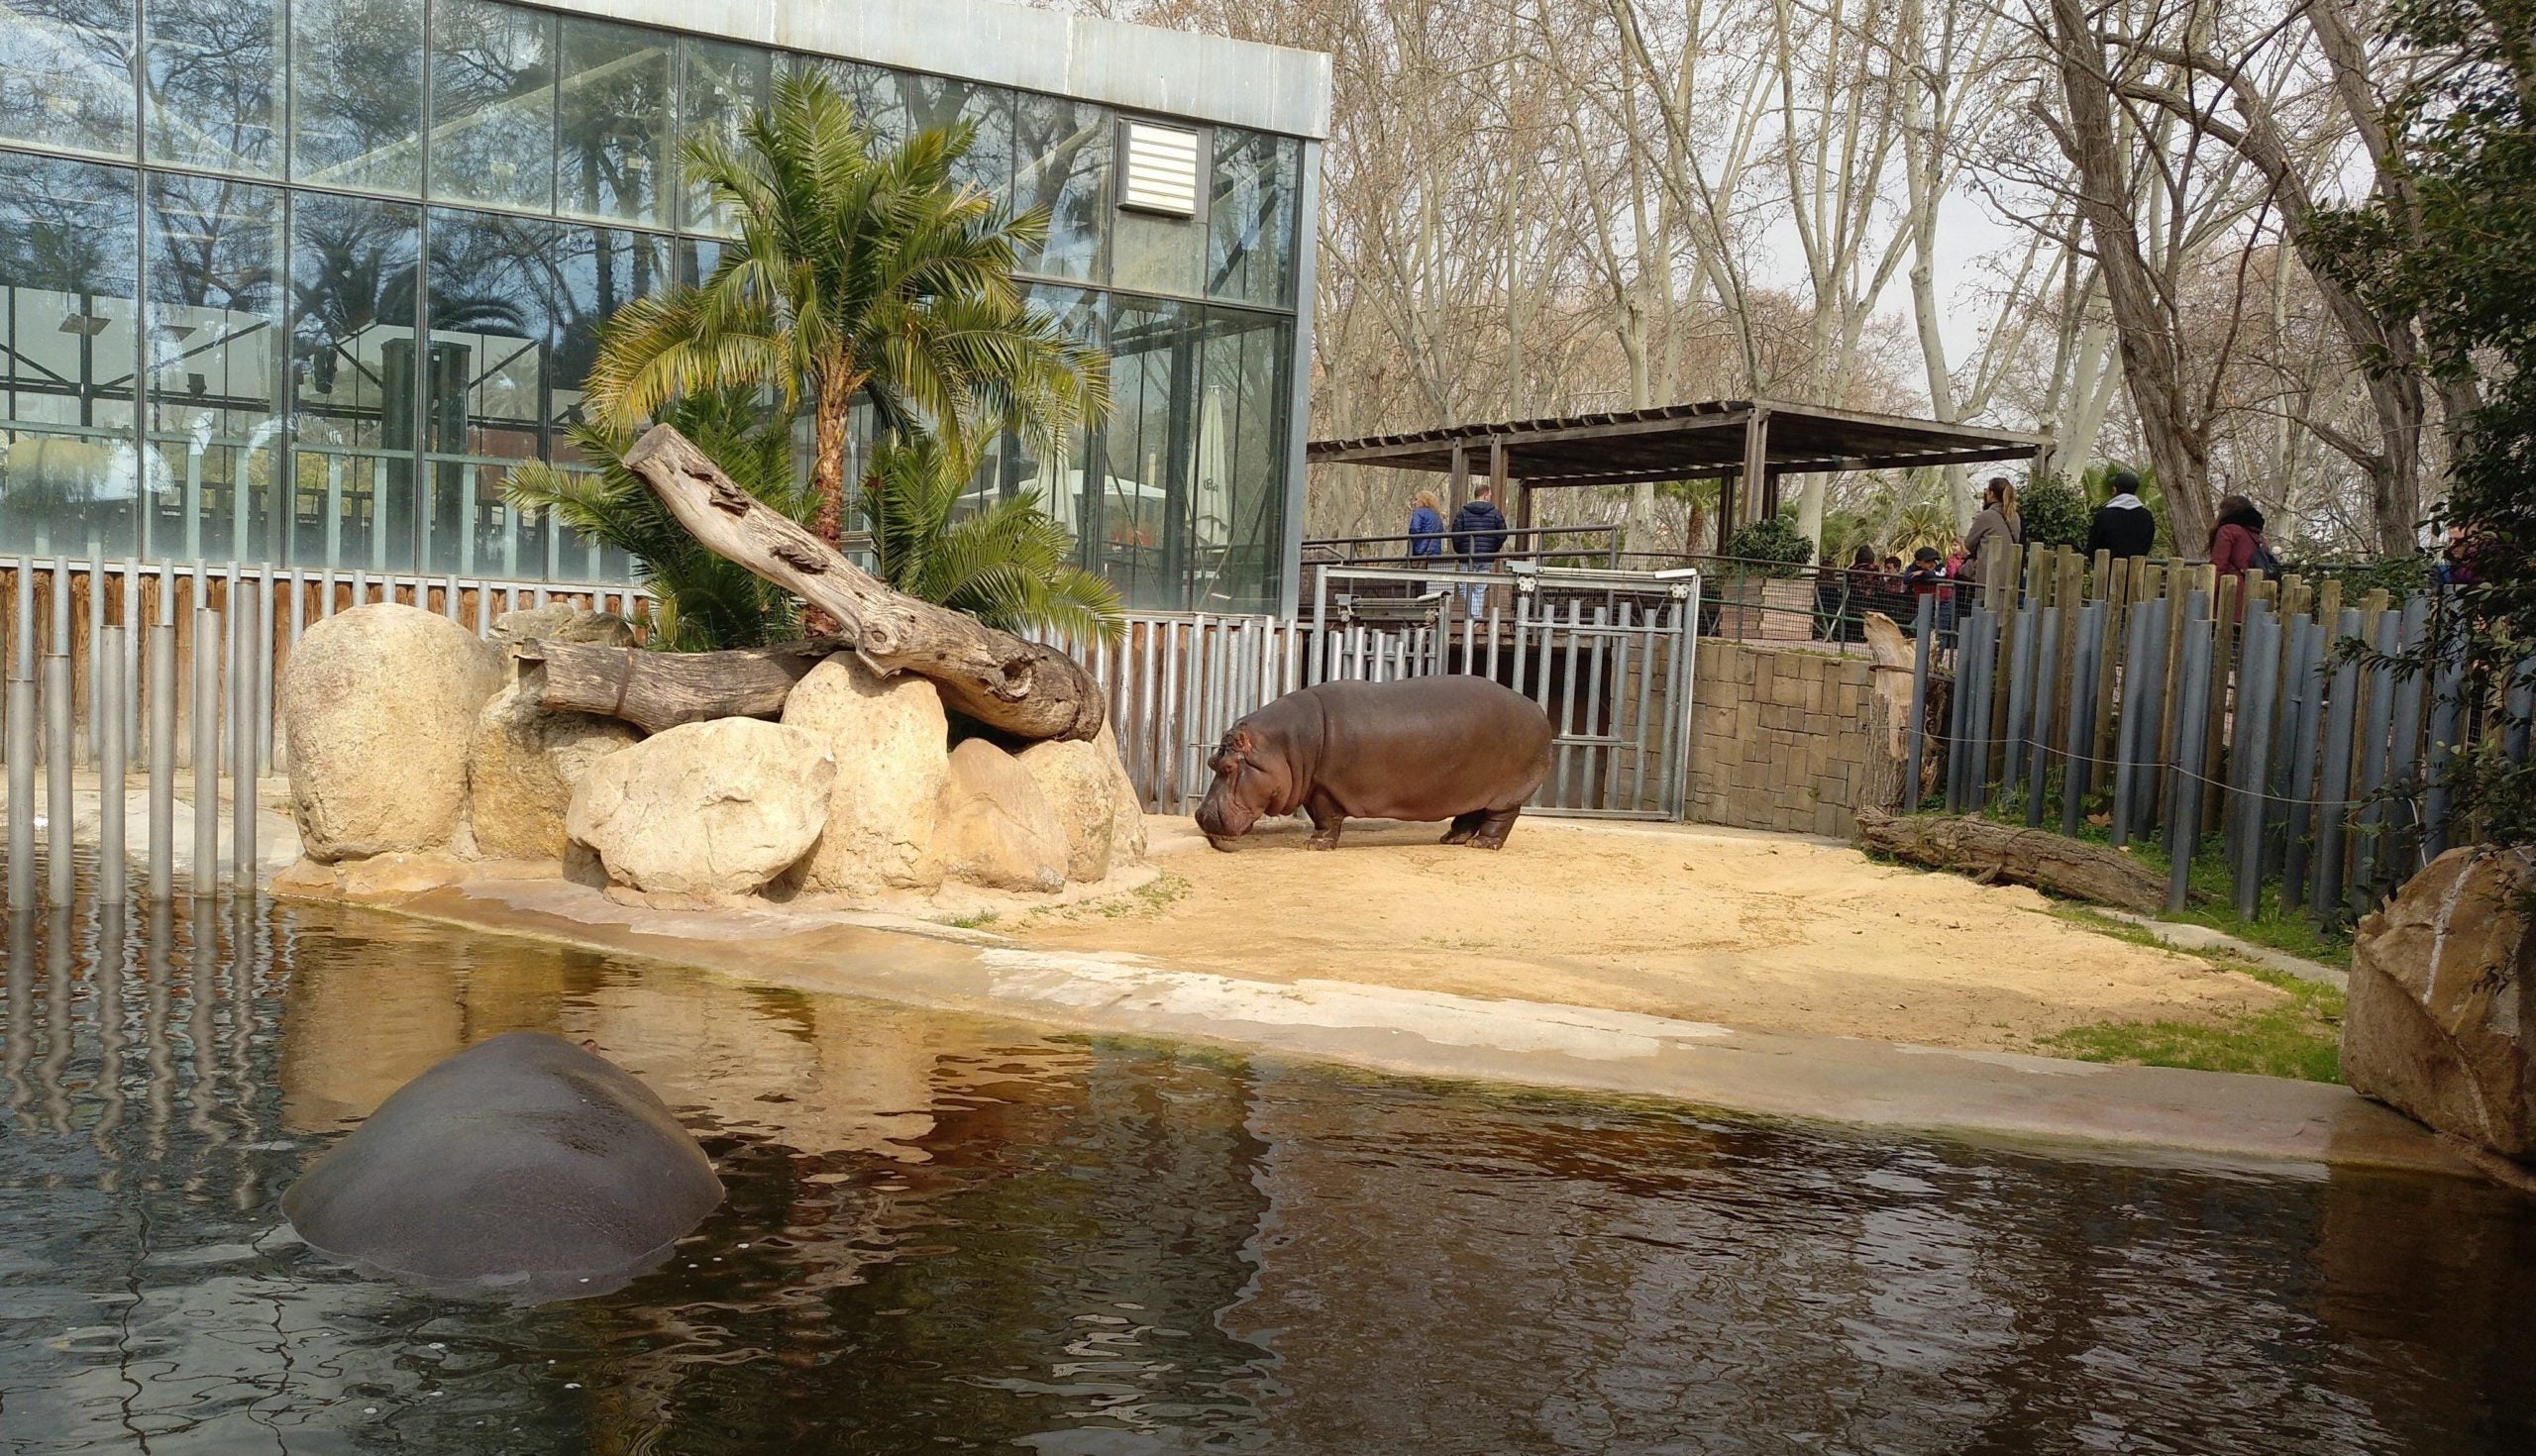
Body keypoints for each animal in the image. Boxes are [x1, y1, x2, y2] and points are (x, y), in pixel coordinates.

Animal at [1197, 679, 1551, 857]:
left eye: (1227, 767)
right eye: (1212, 761)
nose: (1200, 815)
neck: (1283, 745)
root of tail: (1537, 708)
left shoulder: (1325, 788)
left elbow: (1325, 818)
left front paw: (1315, 845)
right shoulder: (1314, 786)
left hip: (1506, 790)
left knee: (1500, 817)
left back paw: (1483, 845)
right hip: (1472, 787)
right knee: (1470, 813)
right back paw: (1451, 839)